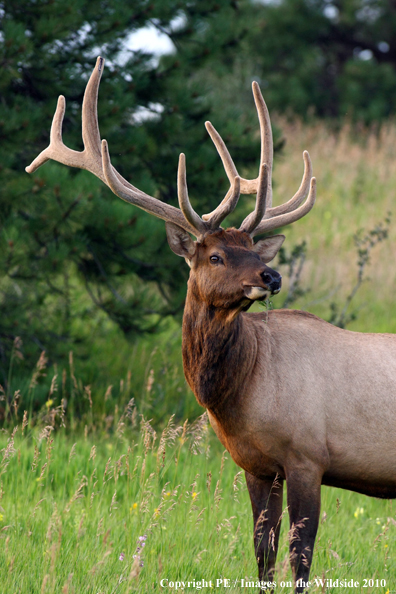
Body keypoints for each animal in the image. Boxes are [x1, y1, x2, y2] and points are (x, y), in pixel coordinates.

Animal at [25, 56, 396, 592]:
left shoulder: (309, 454)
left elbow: (300, 559)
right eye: (217, 255)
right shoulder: (258, 466)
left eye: (255, 250)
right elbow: (263, 555)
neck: (243, 390)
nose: (271, 275)